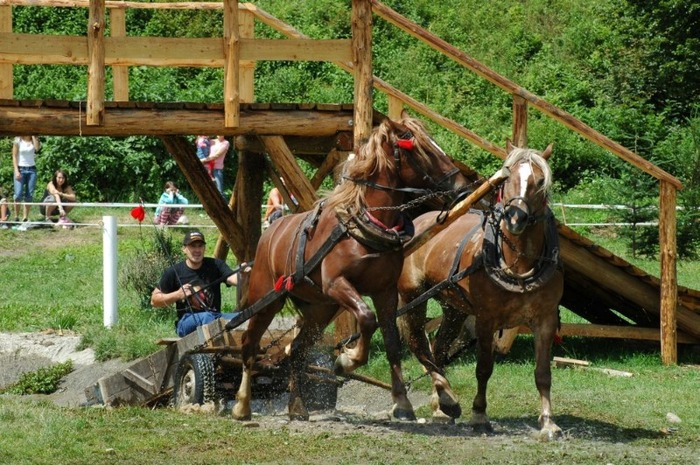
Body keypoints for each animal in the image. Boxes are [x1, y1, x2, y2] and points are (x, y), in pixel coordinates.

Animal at [232, 111, 468, 420]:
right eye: (421, 149)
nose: (462, 189)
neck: (364, 226)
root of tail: (270, 233)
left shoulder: (385, 291)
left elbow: (392, 342)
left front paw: (402, 402)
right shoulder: (338, 285)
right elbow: (366, 319)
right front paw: (347, 360)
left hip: (320, 309)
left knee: (296, 349)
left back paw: (297, 406)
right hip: (267, 299)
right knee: (249, 344)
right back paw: (242, 405)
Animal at [396, 141, 568, 438]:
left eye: (540, 181)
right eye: (507, 179)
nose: (516, 218)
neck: (519, 263)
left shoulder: (545, 319)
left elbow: (543, 373)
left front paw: (548, 422)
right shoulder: (487, 319)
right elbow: (484, 368)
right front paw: (479, 415)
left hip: (453, 308)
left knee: (438, 350)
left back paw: (441, 405)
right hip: (413, 296)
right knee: (419, 344)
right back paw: (438, 400)